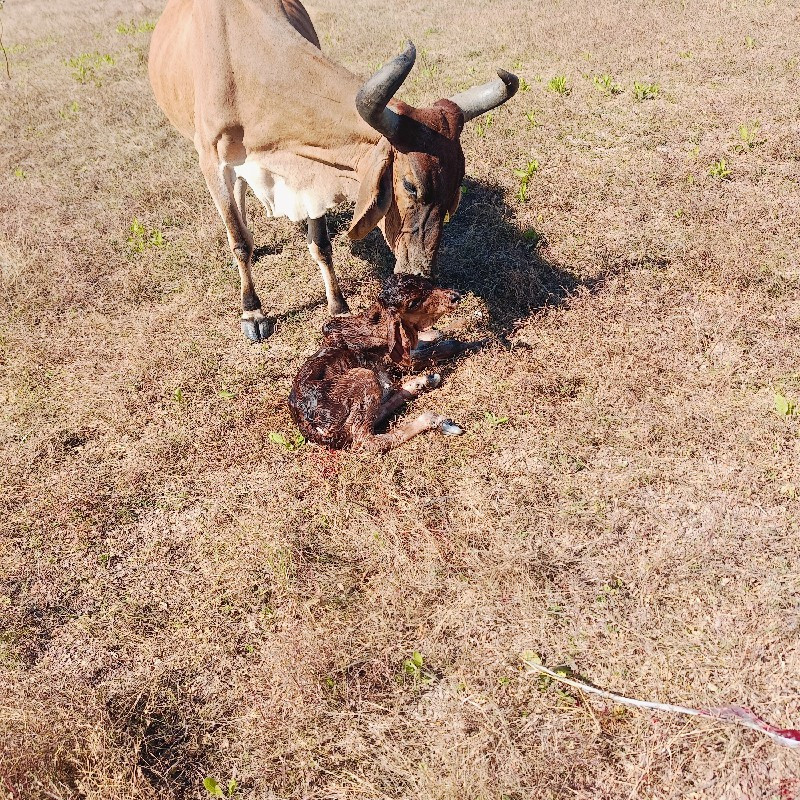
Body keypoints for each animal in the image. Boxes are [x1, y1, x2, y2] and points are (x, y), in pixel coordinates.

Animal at [148, 0, 520, 340]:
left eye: (456, 189)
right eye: (410, 185)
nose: (421, 275)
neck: (243, 69)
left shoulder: (313, 177)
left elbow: (321, 244)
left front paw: (339, 307)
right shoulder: (212, 162)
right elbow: (239, 241)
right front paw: (253, 312)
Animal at [290, 274, 472, 450]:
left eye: (425, 282)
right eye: (414, 302)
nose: (455, 297)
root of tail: (311, 429)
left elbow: (435, 334)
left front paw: (468, 321)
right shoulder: (404, 362)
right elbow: (446, 345)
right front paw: (474, 343)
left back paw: (422, 383)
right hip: (364, 375)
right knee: (366, 441)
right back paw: (434, 419)